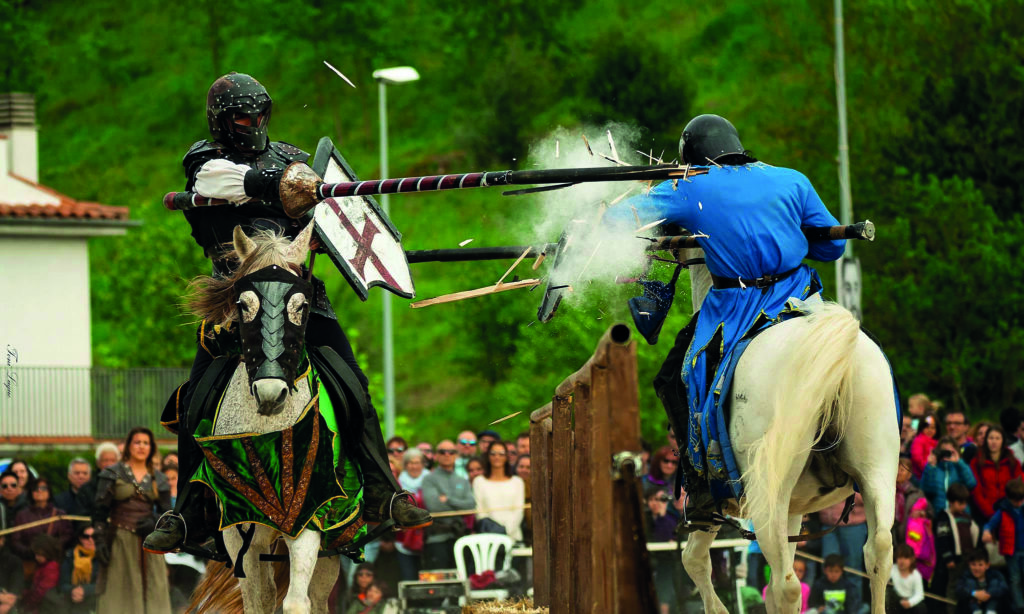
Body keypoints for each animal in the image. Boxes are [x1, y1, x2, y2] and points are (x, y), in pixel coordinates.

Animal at [679, 249, 897, 614]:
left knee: (786, 586)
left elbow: (693, 559)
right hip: (877, 470)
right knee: (878, 550)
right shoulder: (795, 511)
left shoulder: (715, 503)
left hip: (767, 494)